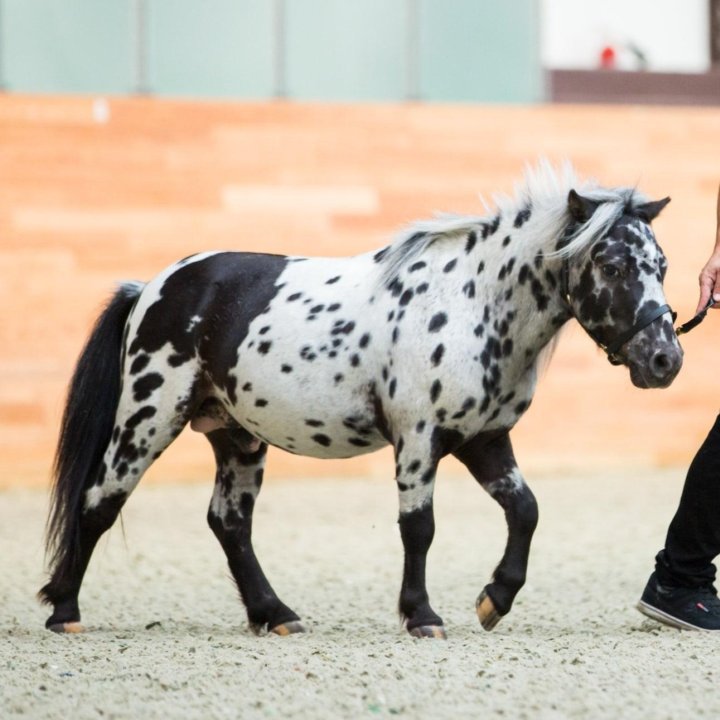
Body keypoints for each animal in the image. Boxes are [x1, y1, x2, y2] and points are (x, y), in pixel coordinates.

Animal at [39, 163, 680, 636]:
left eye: (663, 265)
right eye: (612, 264)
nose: (665, 360)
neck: (471, 304)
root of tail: (152, 286)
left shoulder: (484, 439)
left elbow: (525, 510)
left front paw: (494, 601)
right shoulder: (419, 438)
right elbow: (418, 527)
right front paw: (422, 616)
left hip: (235, 435)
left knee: (229, 522)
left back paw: (275, 615)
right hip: (148, 417)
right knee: (99, 500)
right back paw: (65, 612)